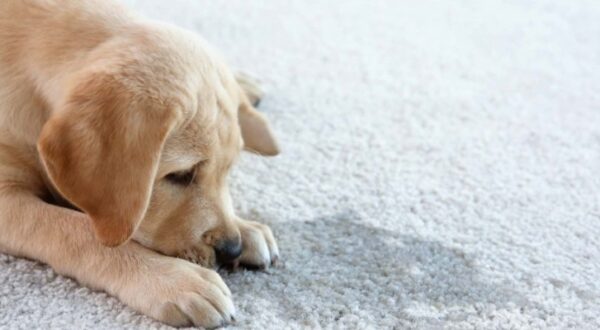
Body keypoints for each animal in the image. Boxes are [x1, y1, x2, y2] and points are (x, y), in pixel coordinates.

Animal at [0, 0, 278, 328]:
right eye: (181, 175)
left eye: (227, 172)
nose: (231, 248)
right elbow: (74, 228)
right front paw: (172, 279)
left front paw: (246, 227)